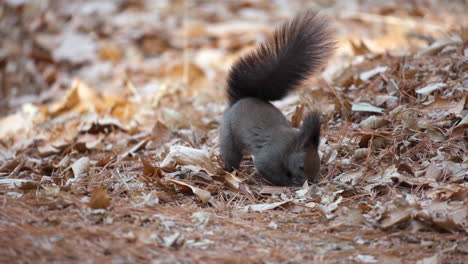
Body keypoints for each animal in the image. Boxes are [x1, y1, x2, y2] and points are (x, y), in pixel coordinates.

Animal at [220, 10, 334, 187]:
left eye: (318, 163)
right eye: (301, 166)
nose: (310, 181)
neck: (291, 147)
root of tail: (239, 100)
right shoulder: (270, 156)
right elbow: (267, 169)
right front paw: (289, 182)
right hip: (229, 136)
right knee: (230, 155)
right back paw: (231, 170)